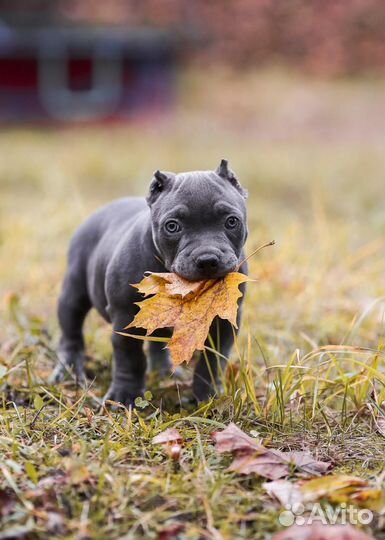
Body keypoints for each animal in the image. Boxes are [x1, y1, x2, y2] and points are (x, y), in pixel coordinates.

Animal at [51, 160, 248, 404]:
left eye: (231, 222)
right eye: (172, 226)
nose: (207, 259)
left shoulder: (224, 320)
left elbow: (213, 360)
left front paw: (208, 395)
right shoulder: (125, 315)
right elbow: (130, 356)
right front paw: (125, 395)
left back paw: (163, 371)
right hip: (74, 292)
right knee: (71, 331)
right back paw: (68, 370)